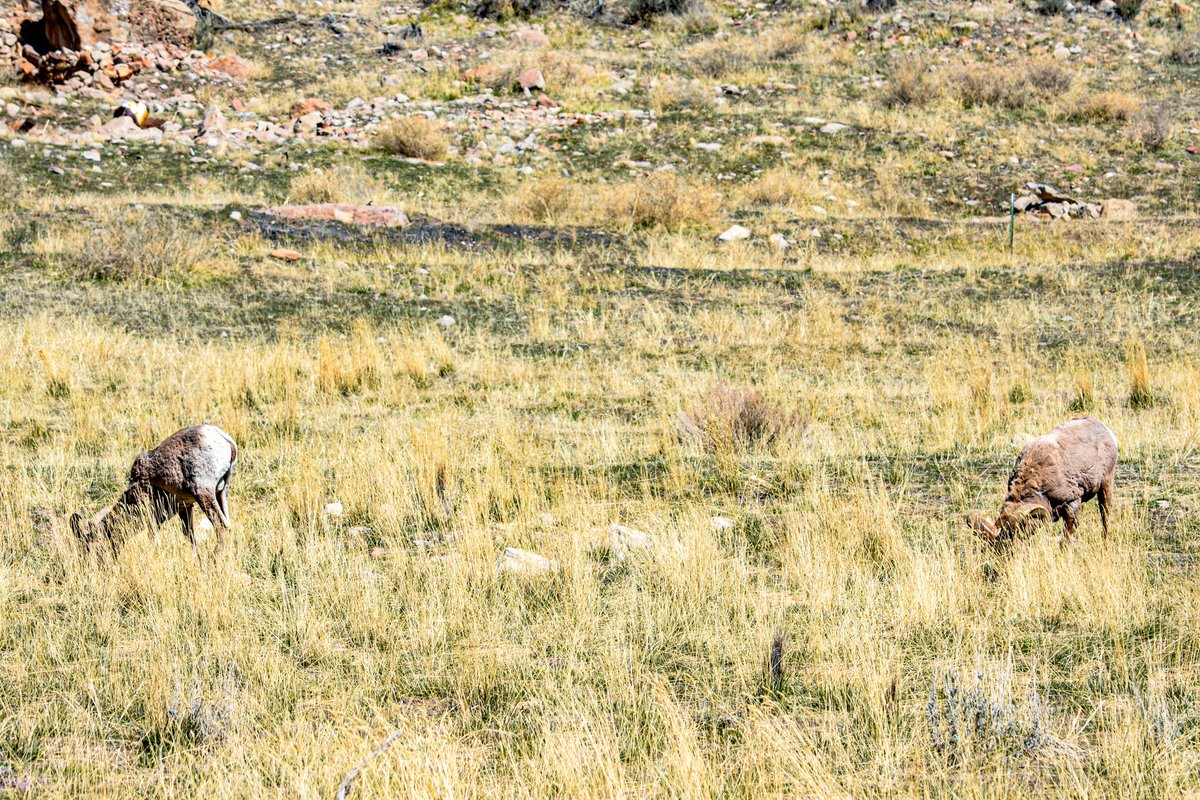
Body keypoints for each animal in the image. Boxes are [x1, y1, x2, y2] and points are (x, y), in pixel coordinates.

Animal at [72, 424, 238, 556]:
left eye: (90, 547)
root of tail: (227, 441)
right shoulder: (185, 507)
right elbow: (190, 537)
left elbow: (153, 539)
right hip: (221, 493)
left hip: (204, 493)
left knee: (222, 528)